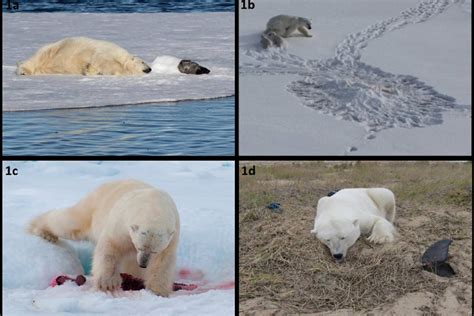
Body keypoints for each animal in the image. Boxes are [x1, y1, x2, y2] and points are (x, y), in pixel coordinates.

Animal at [16, 37, 151, 76]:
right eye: (143, 61)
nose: (150, 69)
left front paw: (89, 70)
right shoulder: (105, 51)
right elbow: (106, 62)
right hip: (51, 50)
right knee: (34, 60)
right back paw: (22, 70)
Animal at [27, 180, 180, 296]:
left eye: (154, 251)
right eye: (139, 246)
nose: (143, 264)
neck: (154, 204)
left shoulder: (172, 235)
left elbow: (163, 262)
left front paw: (158, 290)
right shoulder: (121, 222)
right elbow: (111, 246)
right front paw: (108, 283)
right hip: (93, 207)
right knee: (70, 222)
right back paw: (42, 231)